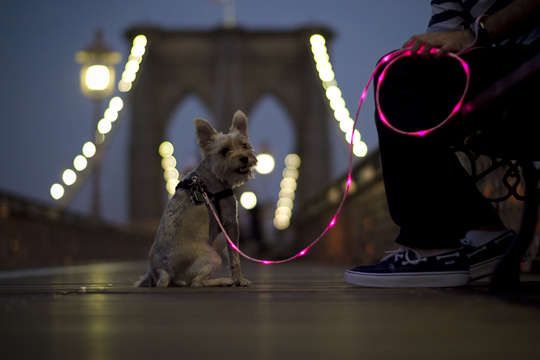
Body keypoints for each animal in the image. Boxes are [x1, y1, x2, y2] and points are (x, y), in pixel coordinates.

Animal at [138, 111, 258, 288]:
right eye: (224, 151)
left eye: (244, 145)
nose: (244, 158)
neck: (212, 173)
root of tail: (164, 271)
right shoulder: (231, 222)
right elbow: (234, 256)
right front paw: (239, 279)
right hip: (214, 256)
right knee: (196, 282)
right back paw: (223, 280)